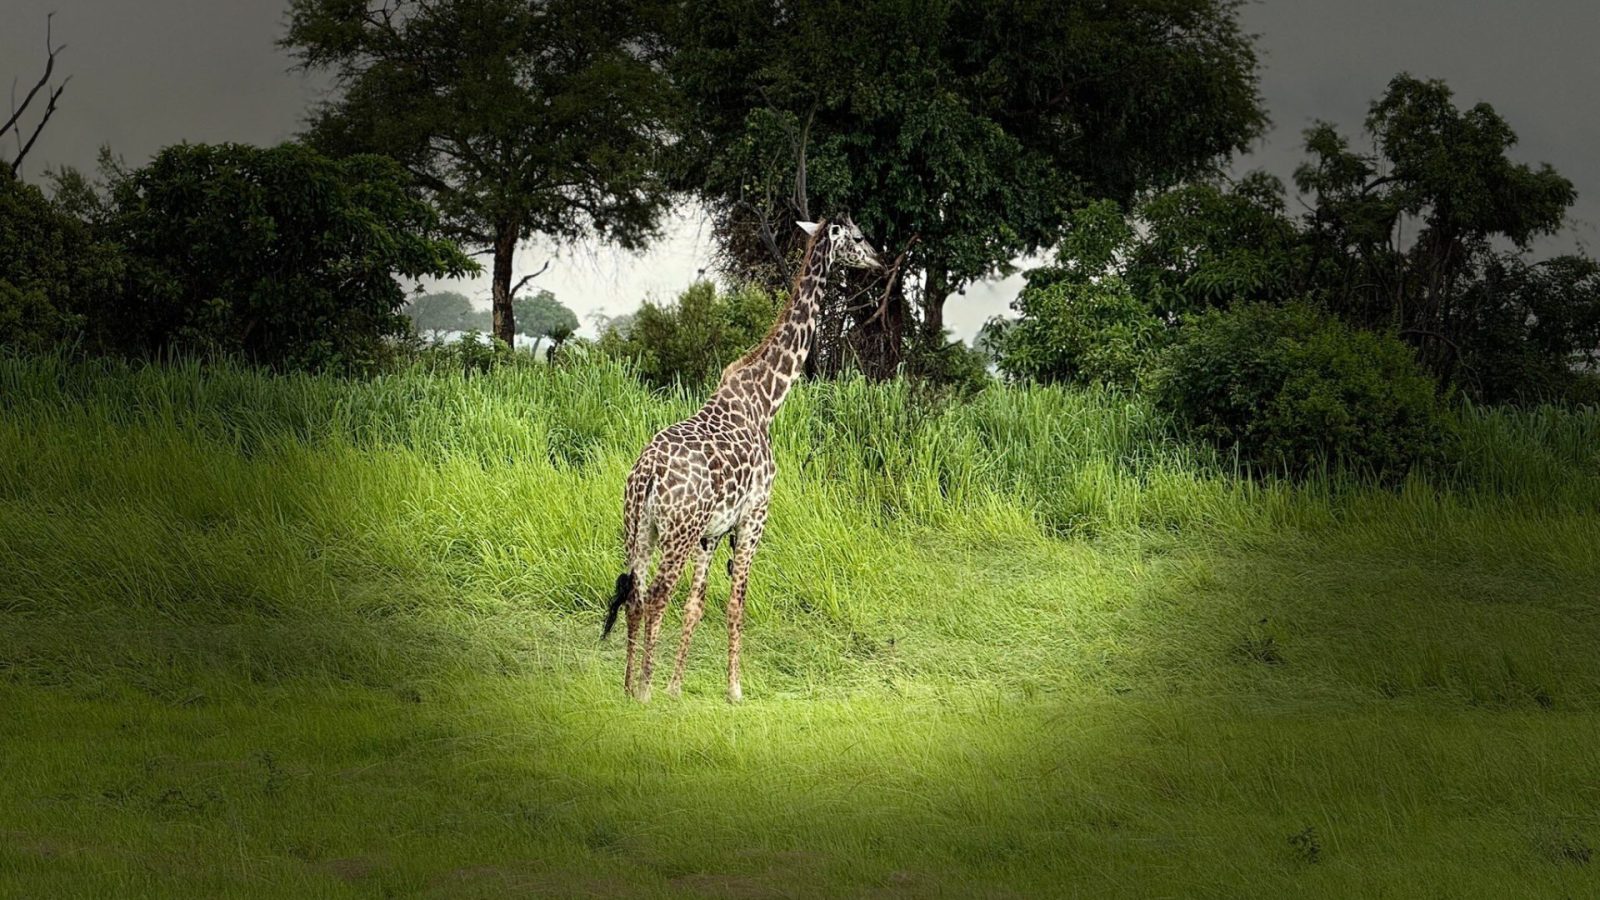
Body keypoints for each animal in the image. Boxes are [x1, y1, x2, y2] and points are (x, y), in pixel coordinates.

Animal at [601, 216, 883, 702]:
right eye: (859, 236)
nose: (880, 260)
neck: (768, 399)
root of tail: (648, 474)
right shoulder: (755, 516)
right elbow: (736, 602)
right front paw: (733, 688)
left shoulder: (712, 532)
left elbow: (696, 606)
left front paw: (677, 687)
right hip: (678, 531)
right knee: (655, 596)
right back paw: (644, 690)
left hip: (638, 528)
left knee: (635, 595)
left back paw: (627, 686)